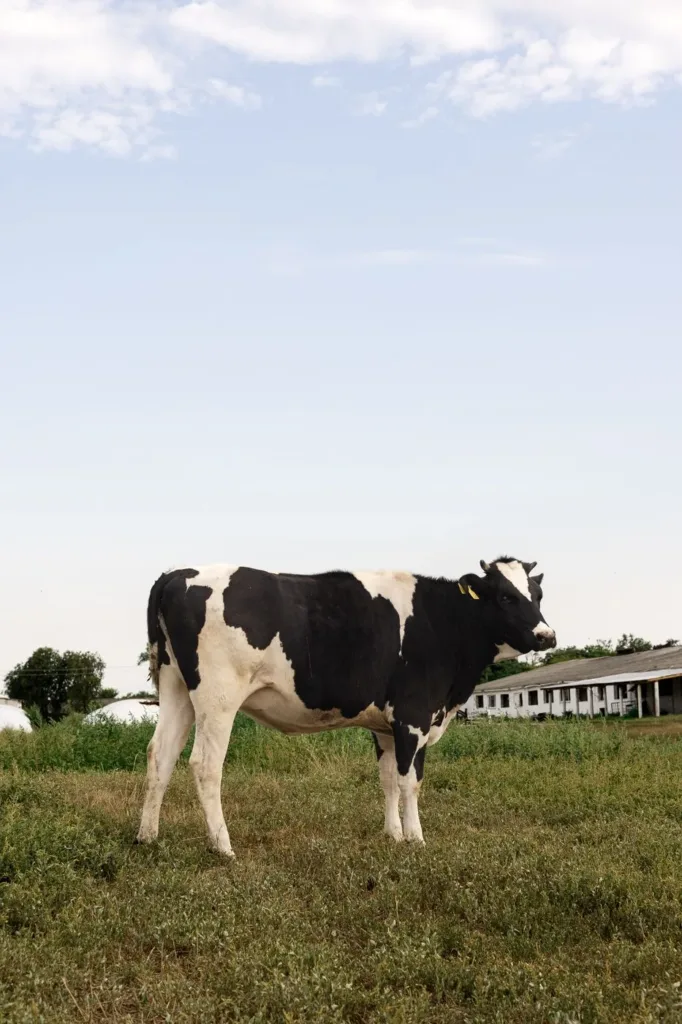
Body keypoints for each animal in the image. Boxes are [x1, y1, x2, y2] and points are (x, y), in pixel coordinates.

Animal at [136, 557, 555, 857]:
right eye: (506, 596)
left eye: (537, 595)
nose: (547, 636)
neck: (443, 624)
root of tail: (178, 573)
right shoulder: (413, 717)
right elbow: (410, 782)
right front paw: (416, 839)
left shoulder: (385, 726)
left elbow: (387, 780)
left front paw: (393, 835)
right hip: (218, 695)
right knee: (205, 764)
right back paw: (223, 847)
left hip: (175, 686)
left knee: (161, 754)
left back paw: (147, 836)